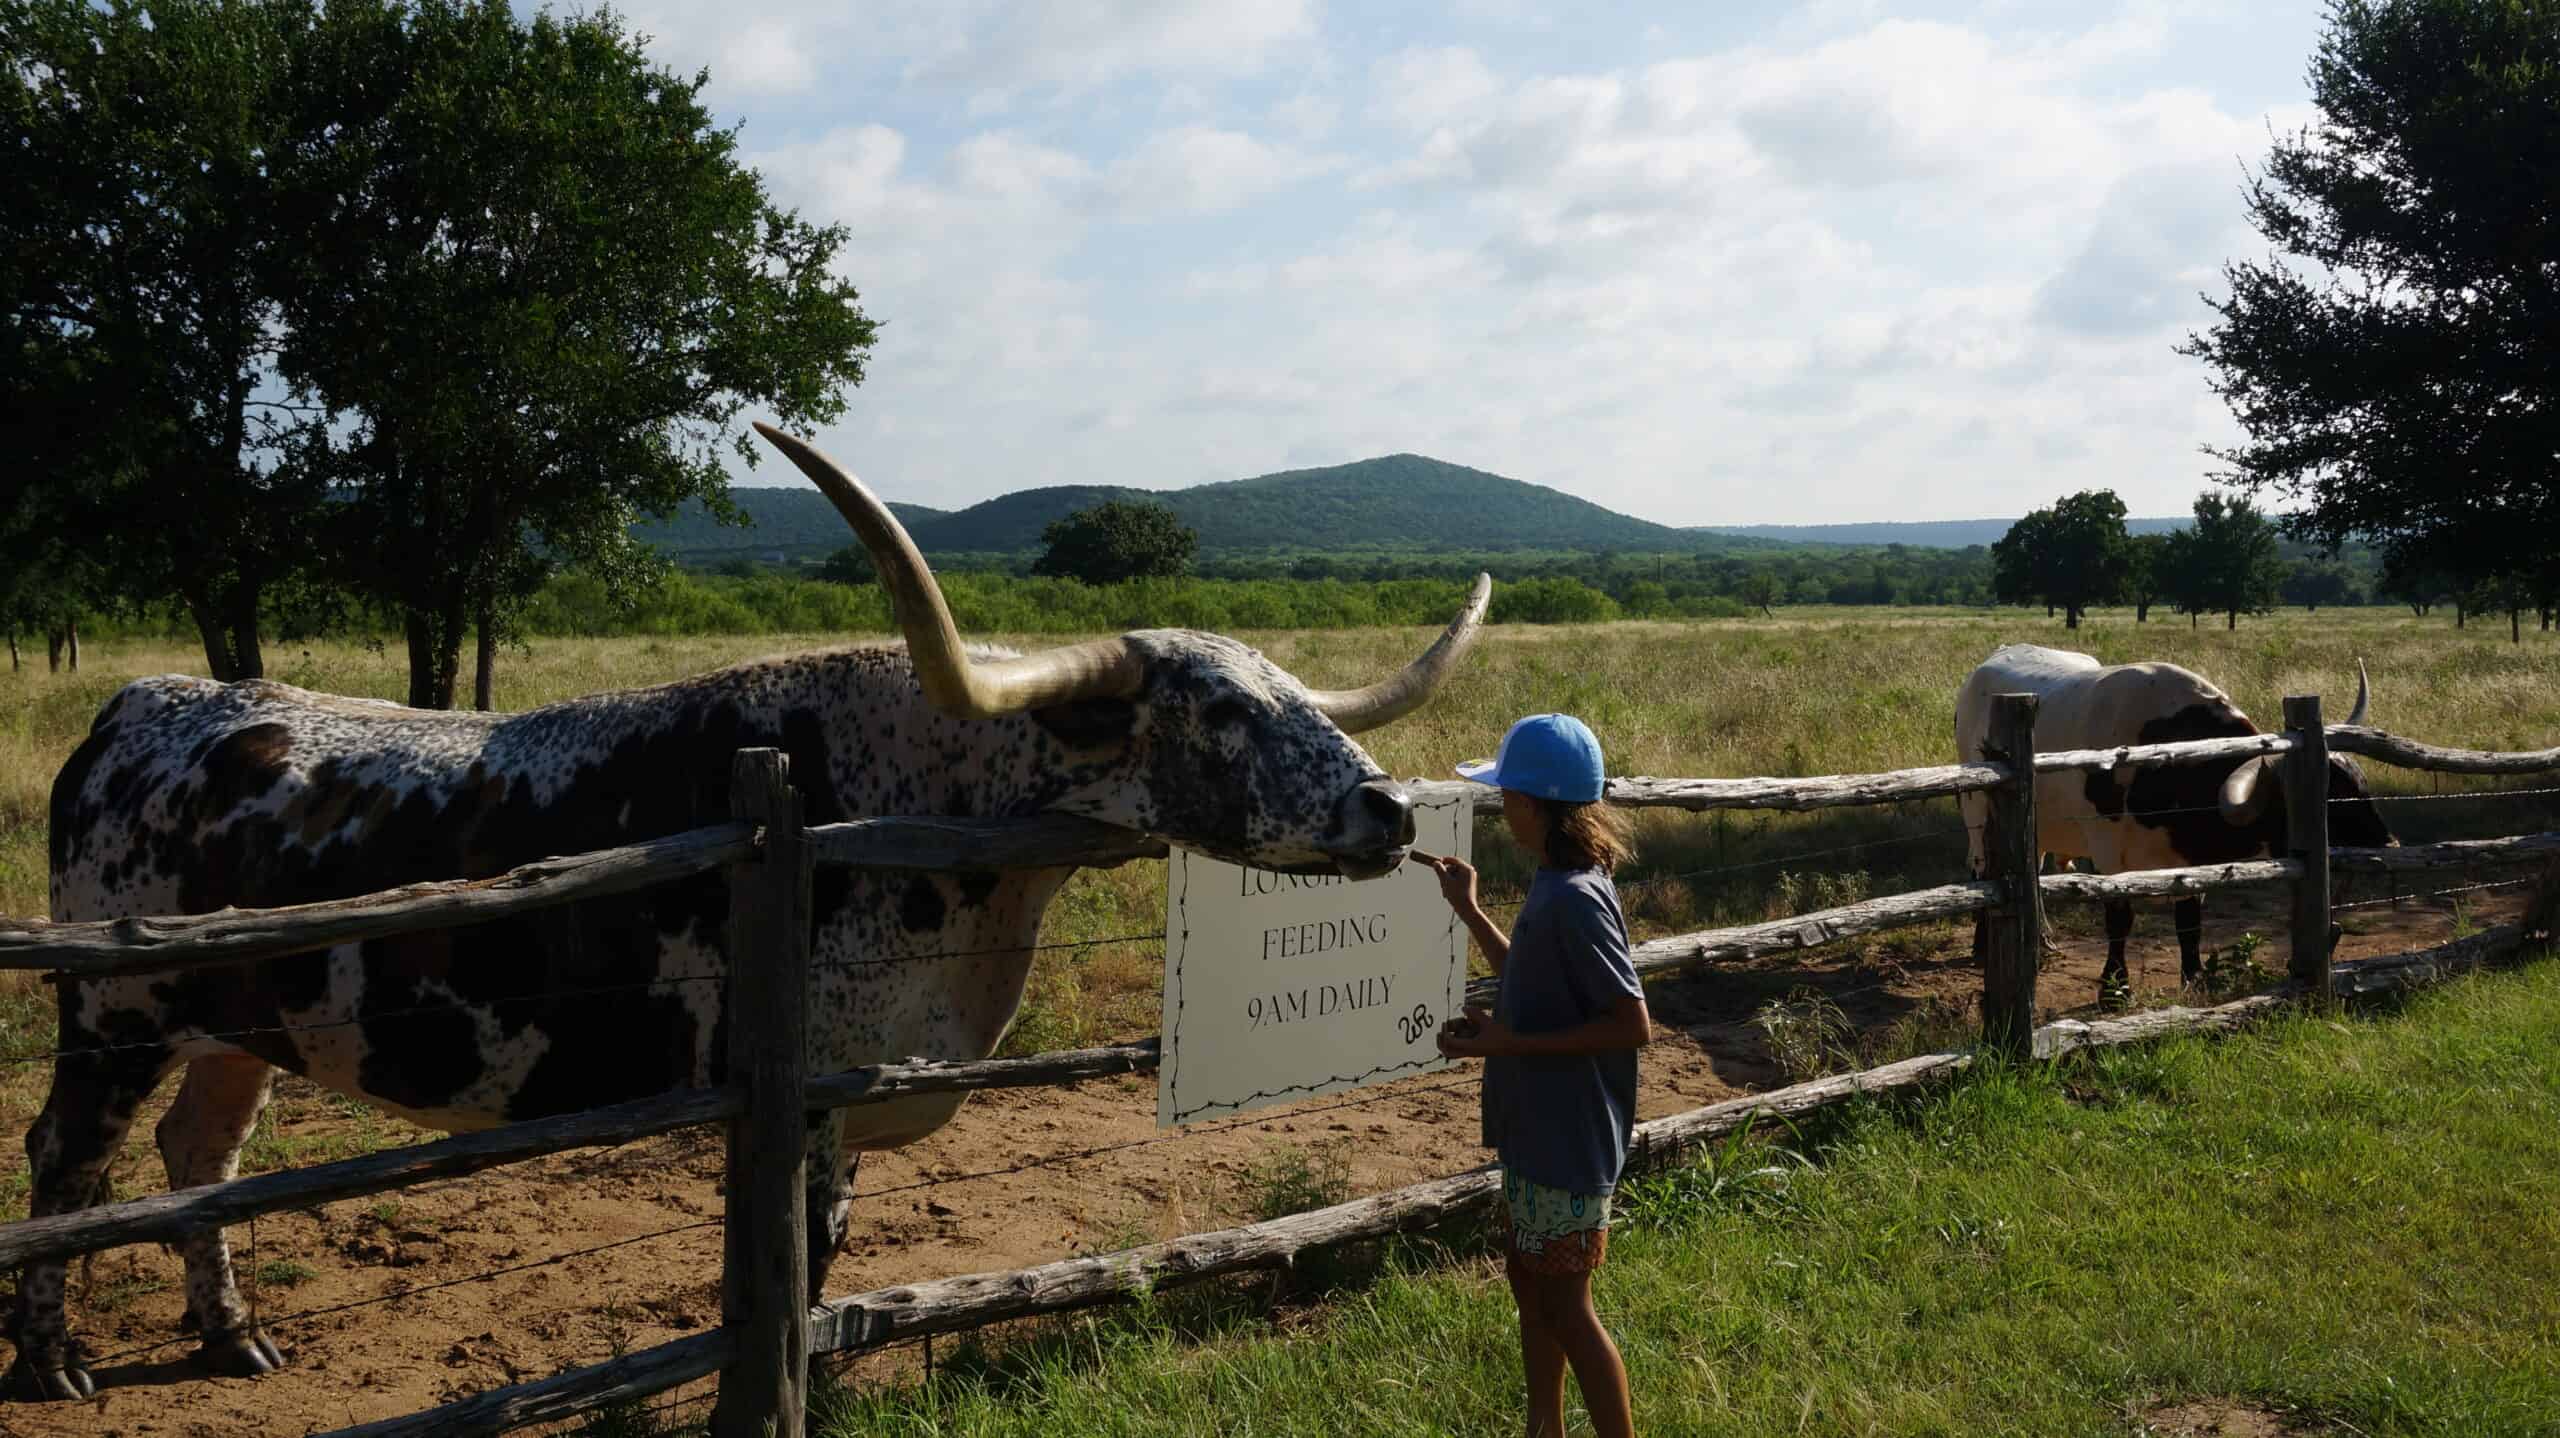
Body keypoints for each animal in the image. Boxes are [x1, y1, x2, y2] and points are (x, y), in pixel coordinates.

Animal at [9, 423, 1492, 1402]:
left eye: (1291, 689)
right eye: (1225, 710)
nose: (1387, 808)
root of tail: (141, 703)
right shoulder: (814, 1107)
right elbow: (800, 1282)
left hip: (237, 1022)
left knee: (199, 1153)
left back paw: (228, 1334)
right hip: (115, 1007)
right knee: (68, 1164)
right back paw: (52, 1358)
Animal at [1956, 643, 2394, 1001]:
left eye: (2359, 785)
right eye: (2328, 799)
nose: (2388, 844)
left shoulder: (2190, 861)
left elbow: (2189, 921)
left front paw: (2193, 978)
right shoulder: (2109, 853)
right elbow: (2119, 917)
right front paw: (2115, 988)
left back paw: (2042, 939)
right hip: (1977, 814)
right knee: (1981, 870)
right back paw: (1983, 946)